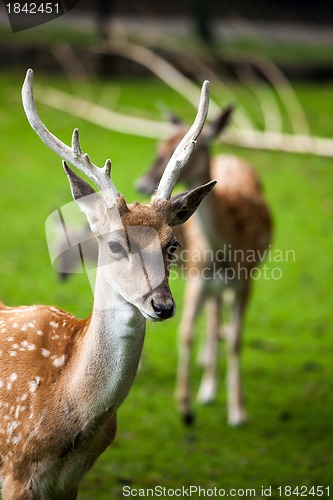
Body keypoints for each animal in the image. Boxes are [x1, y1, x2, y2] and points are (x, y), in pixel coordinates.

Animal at [136, 105, 272, 426]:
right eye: (158, 146)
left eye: (188, 149)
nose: (142, 184)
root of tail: (230, 157)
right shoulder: (197, 275)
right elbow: (186, 331)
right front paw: (186, 406)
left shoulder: (247, 280)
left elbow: (236, 340)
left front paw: (238, 411)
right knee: (212, 312)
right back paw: (208, 382)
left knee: (218, 315)